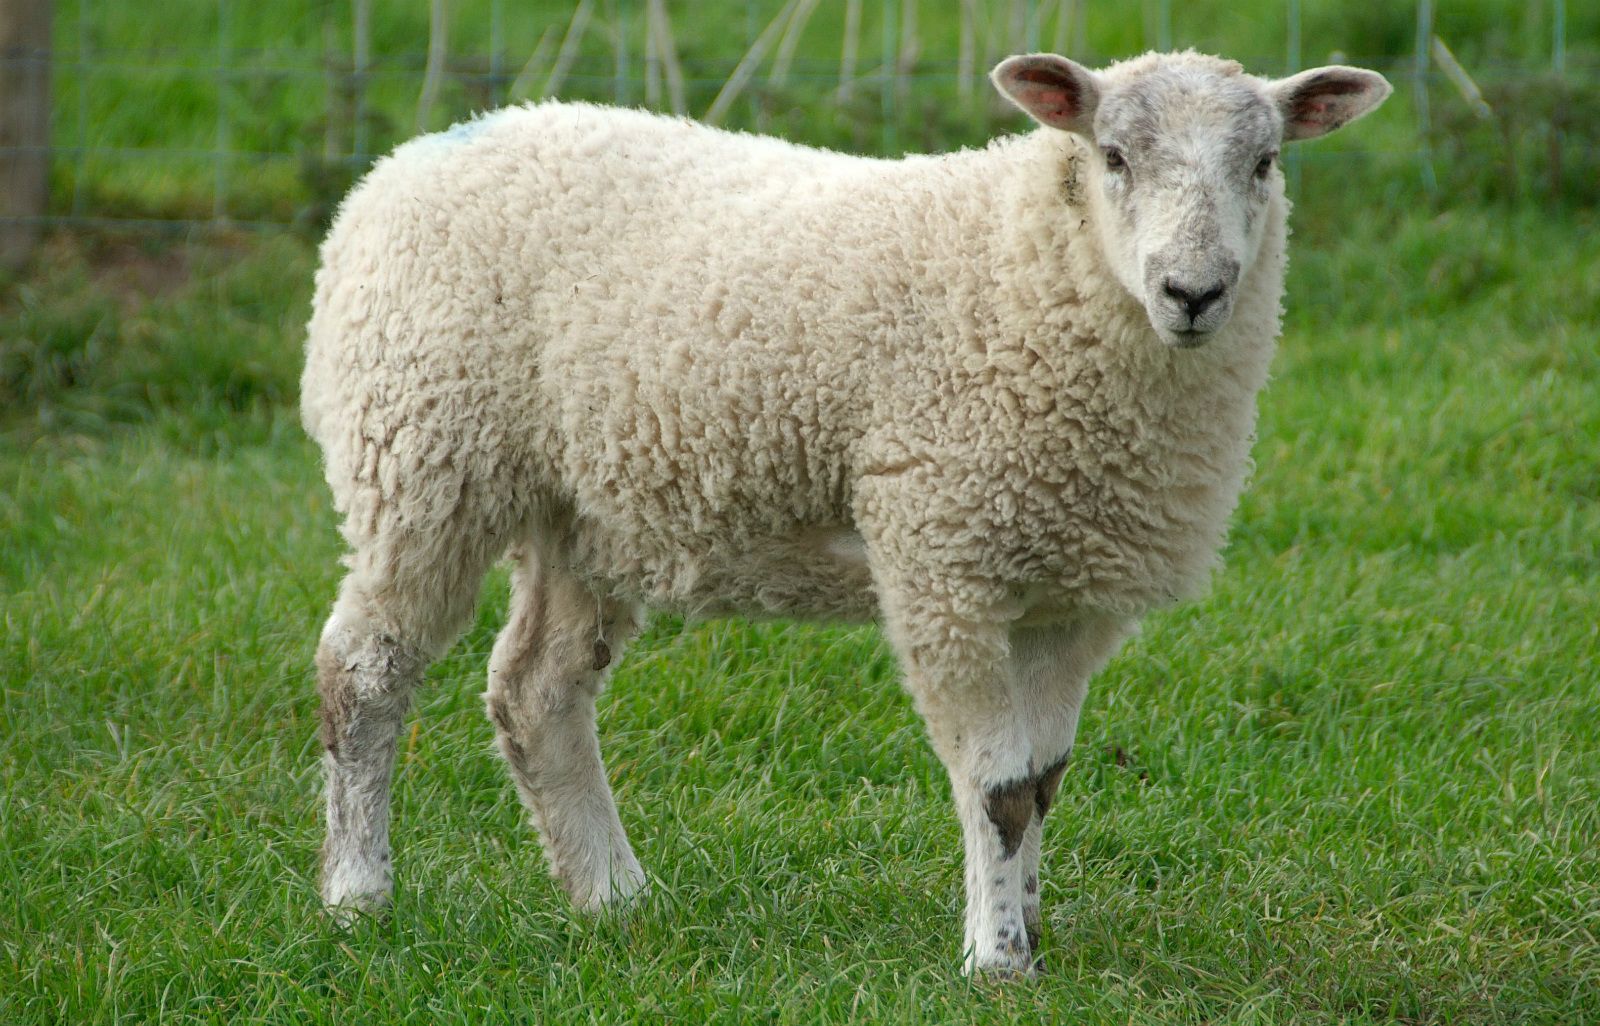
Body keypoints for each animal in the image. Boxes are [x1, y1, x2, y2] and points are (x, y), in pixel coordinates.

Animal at [301, 50, 1391, 976]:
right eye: (1113, 155)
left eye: (1264, 162)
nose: (1193, 292)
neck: (1028, 270)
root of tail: (399, 167)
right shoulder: (943, 559)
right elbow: (997, 788)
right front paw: (996, 960)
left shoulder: (1072, 592)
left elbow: (1044, 779)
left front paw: (1034, 933)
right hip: (422, 454)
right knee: (366, 670)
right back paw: (359, 896)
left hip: (587, 508)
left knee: (536, 691)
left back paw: (614, 897)